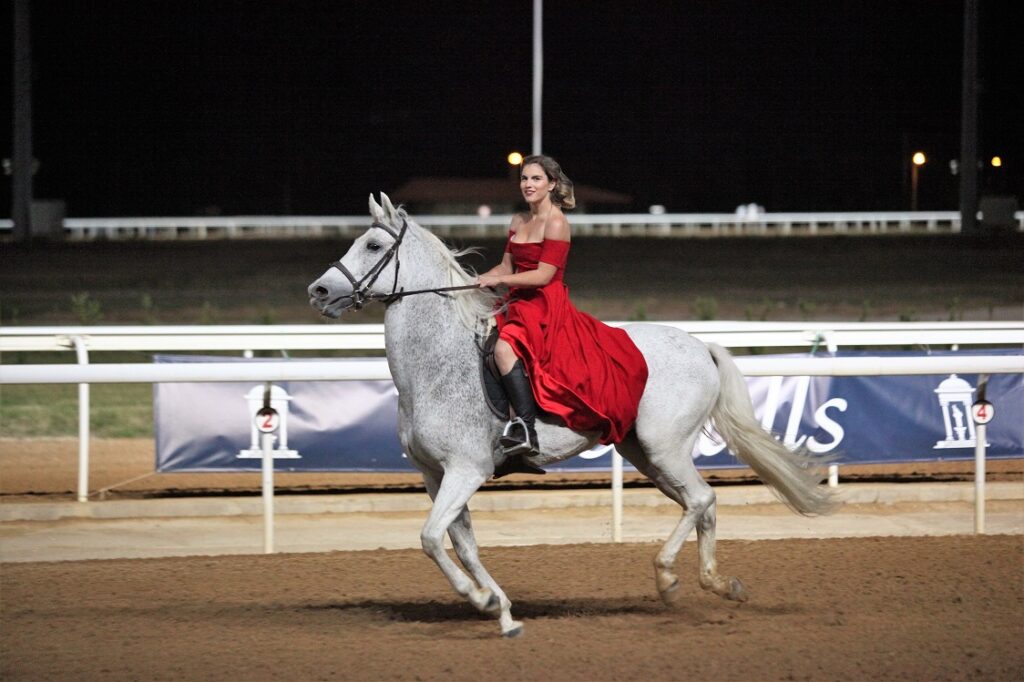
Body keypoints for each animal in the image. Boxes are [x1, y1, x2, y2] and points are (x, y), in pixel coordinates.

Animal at [305, 192, 831, 638]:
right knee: (702, 503)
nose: (318, 291)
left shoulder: (466, 470)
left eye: (373, 245)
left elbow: (431, 538)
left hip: (664, 447)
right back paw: (718, 583)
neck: (433, 363)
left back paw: (668, 578)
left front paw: (483, 600)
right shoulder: (436, 475)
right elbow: (463, 546)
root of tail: (702, 346)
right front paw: (502, 611)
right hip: (645, 454)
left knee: (700, 499)